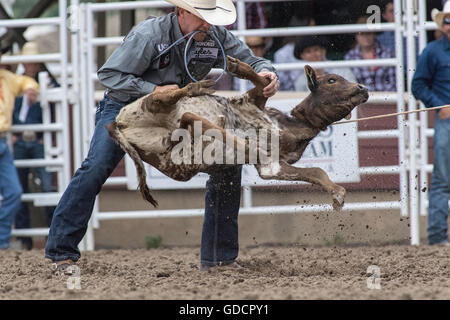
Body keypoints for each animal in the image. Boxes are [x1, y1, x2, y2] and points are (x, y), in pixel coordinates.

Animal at [106, 55, 370, 210]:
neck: (291, 127)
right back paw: (199, 90)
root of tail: (117, 125)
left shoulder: (272, 167)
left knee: (189, 120)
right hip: (151, 105)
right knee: (175, 100)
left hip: (178, 160)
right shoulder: (252, 100)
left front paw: (337, 194)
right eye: (332, 80)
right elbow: (261, 83)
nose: (363, 88)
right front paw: (233, 63)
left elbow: (316, 171)